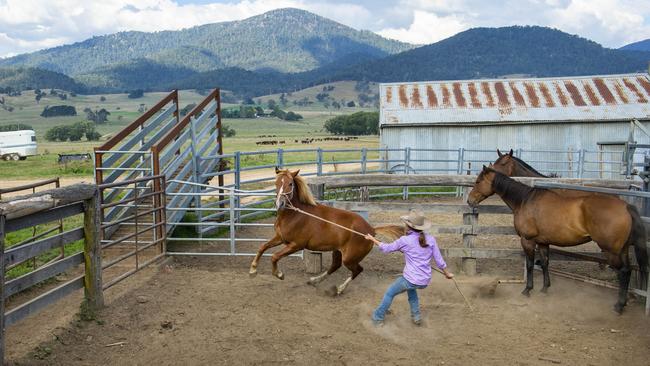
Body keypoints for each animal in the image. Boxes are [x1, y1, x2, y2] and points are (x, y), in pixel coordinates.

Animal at [247, 167, 400, 296]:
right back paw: (314, 280)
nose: (280, 204)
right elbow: (262, 247)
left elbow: (274, 256)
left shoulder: (296, 245)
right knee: (335, 266)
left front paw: (279, 274)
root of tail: (371, 231)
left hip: (349, 258)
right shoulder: (280, 238)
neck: (295, 214)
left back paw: (338, 289)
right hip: (338, 251)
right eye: (276, 183)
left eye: (290, 184)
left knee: (357, 270)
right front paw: (253, 270)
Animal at [468, 166, 644, 312]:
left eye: (478, 181)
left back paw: (619, 306)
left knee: (623, 272)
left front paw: (527, 290)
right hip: (622, 250)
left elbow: (530, 265)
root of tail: (625, 206)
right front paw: (545, 288)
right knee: (628, 271)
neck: (525, 200)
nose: (469, 200)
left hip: (611, 251)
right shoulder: (543, 242)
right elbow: (545, 263)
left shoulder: (528, 241)